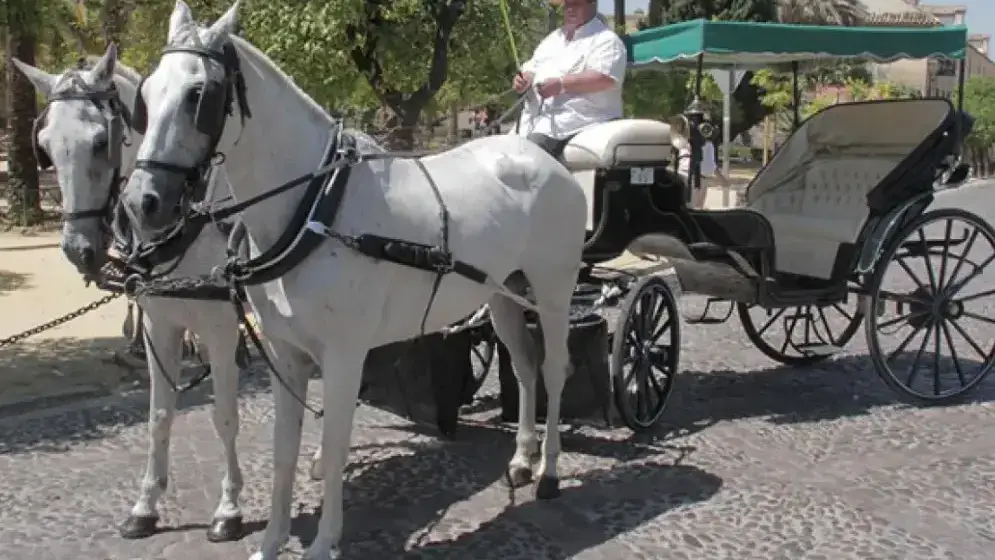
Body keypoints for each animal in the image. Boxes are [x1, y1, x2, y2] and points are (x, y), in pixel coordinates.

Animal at [13, 43, 290, 544]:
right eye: (45, 147)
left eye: (100, 142)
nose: (78, 248)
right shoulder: (160, 326)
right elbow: (159, 416)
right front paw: (145, 505)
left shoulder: (221, 328)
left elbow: (225, 416)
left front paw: (228, 508)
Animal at [119, 1, 587, 558]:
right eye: (146, 97)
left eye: (200, 95)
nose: (143, 202)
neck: (315, 207)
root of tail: (543, 155)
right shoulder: (285, 353)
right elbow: (283, 450)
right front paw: (271, 541)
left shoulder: (344, 355)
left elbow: (334, 444)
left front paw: (324, 542)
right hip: (503, 294)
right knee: (525, 366)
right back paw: (521, 459)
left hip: (553, 292)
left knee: (556, 369)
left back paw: (550, 471)